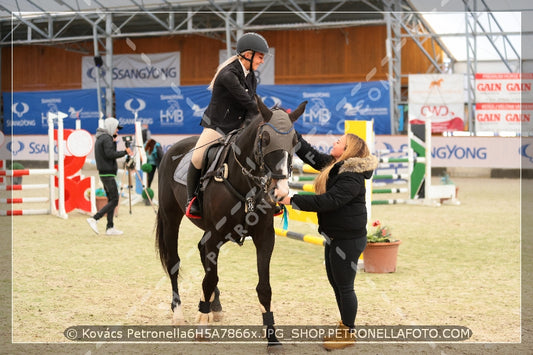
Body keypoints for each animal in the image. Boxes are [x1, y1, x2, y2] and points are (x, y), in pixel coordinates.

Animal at [154, 96, 306, 350]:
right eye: (265, 139)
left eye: (295, 141)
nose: (281, 191)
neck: (246, 184)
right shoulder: (215, 235)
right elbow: (209, 278)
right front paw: (201, 325)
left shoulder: (265, 237)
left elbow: (264, 288)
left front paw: (272, 337)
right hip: (171, 216)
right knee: (174, 263)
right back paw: (179, 313)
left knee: (201, 251)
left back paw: (213, 307)